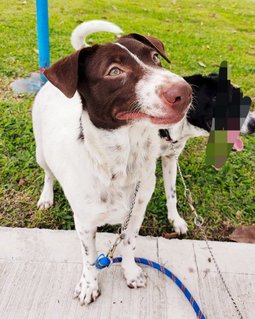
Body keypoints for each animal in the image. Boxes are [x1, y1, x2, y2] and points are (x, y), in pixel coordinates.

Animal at [32, 20, 191, 304]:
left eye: (154, 58)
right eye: (114, 71)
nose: (184, 91)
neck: (121, 162)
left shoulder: (137, 212)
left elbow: (128, 243)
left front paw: (131, 272)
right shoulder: (84, 223)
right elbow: (89, 258)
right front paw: (89, 285)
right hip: (41, 152)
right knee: (48, 174)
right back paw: (46, 197)